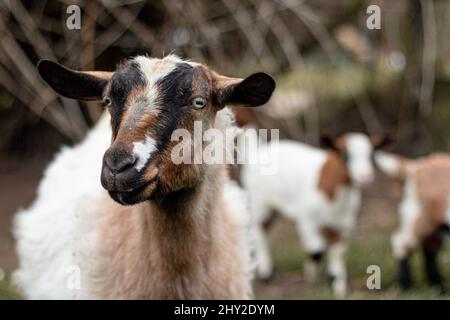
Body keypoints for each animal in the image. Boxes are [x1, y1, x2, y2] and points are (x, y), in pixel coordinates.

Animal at [241, 131, 388, 296]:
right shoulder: (307, 219)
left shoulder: (342, 225)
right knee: (259, 232)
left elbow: (337, 252)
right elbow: (316, 251)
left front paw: (338, 287)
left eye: (371, 155)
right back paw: (266, 273)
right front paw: (311, 275)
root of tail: (257, 150)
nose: (365, 177)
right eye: (345, 155)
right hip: (260, 203)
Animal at [374, 151, 450, 294]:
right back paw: (406, 287)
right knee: (401, 242)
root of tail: (415, 168)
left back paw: (438, 287)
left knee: (429, 250)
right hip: (418, 217)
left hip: (433, 224)